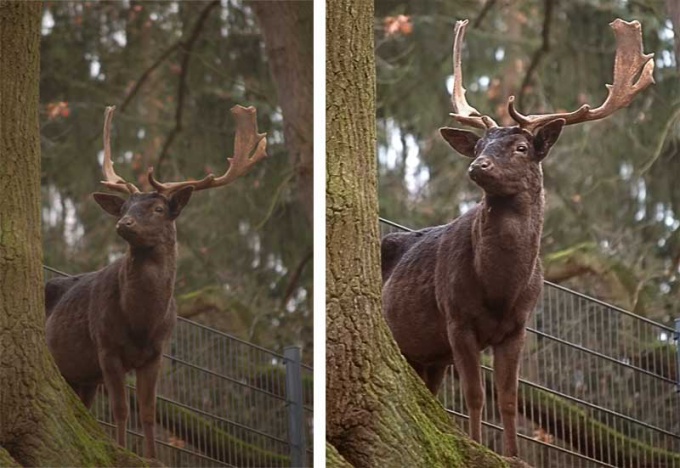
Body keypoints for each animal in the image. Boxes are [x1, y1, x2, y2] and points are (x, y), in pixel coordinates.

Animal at [43, 104, 266, 458]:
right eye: (124, 205)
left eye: (160, 208)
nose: (124, 222)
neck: (141, 320)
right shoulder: (106, 345)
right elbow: (121, 409)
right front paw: (122, 451)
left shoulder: (156, 353)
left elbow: (148, 411)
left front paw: (151, 457)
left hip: (82, 376)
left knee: (83, 407)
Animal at [382, 19, 652, 458]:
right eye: (478, 143)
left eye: (523, 146)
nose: (478, 164)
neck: (499, 287)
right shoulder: (456, 317)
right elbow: (475, 395)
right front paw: (477, 446)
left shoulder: (517, 326)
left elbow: (508, 397)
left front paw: (513, 455)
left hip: (428, 354)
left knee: (429, 392)